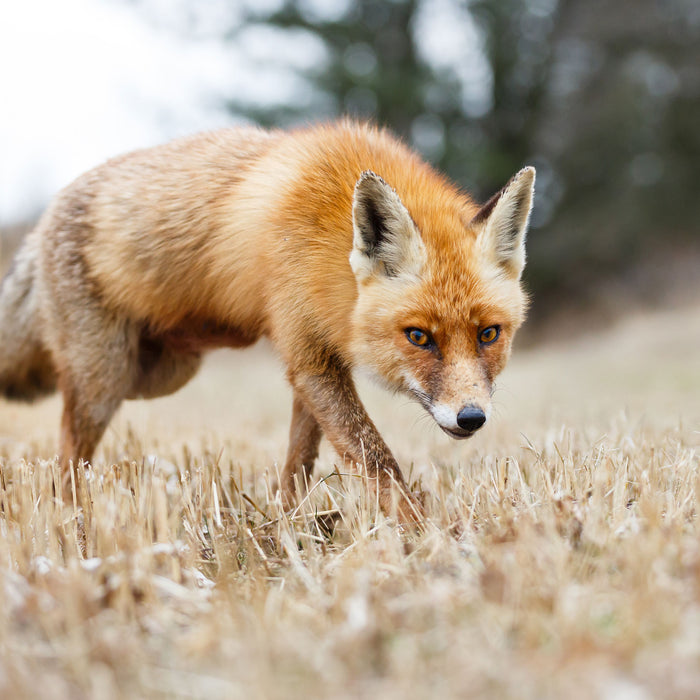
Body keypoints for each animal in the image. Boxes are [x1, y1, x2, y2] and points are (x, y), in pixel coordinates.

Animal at [0, 120, 532, 520]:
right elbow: (376, 460)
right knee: (67, 456)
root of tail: (42, 221)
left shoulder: (318, 358)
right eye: (419, 336)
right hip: (105, 382)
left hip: (160, 372)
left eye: (489, 334)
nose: (471, 417)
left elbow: (300, 461)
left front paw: (288, 523)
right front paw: (420, 535)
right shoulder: (309, 356)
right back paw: (71, 518)